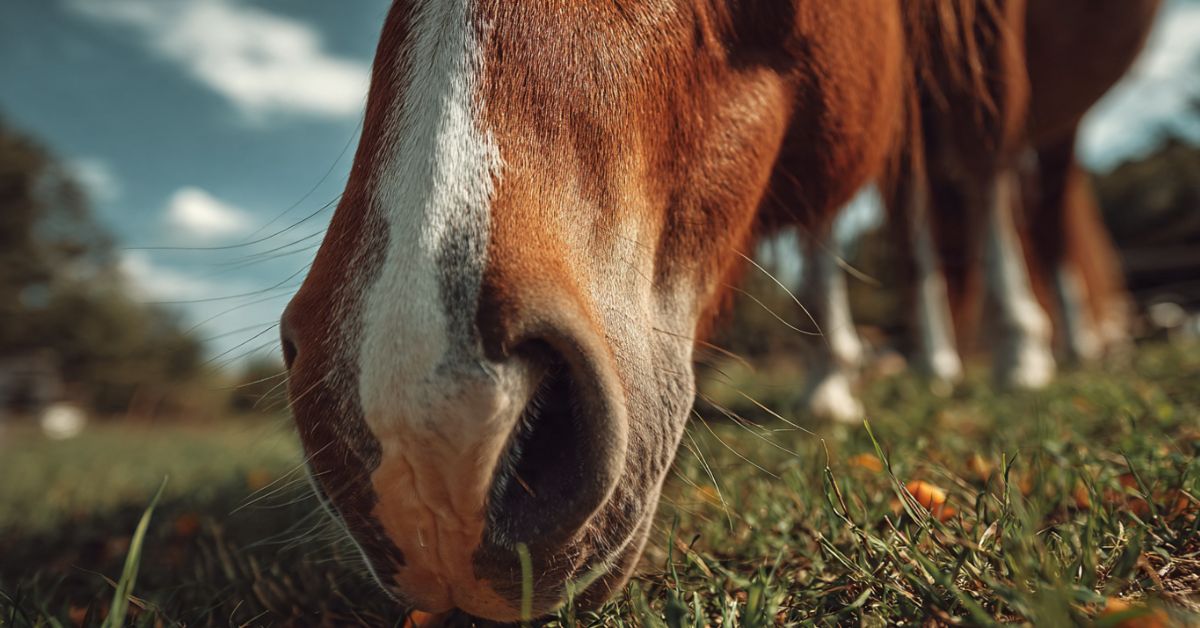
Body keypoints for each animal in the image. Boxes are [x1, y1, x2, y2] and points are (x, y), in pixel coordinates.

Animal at [799, 0, 1161, 423]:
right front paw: (828, 378)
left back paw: (1076, 344)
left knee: (1050, 217)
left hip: (1063, 124)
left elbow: (982, 150)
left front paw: (1018, 352)